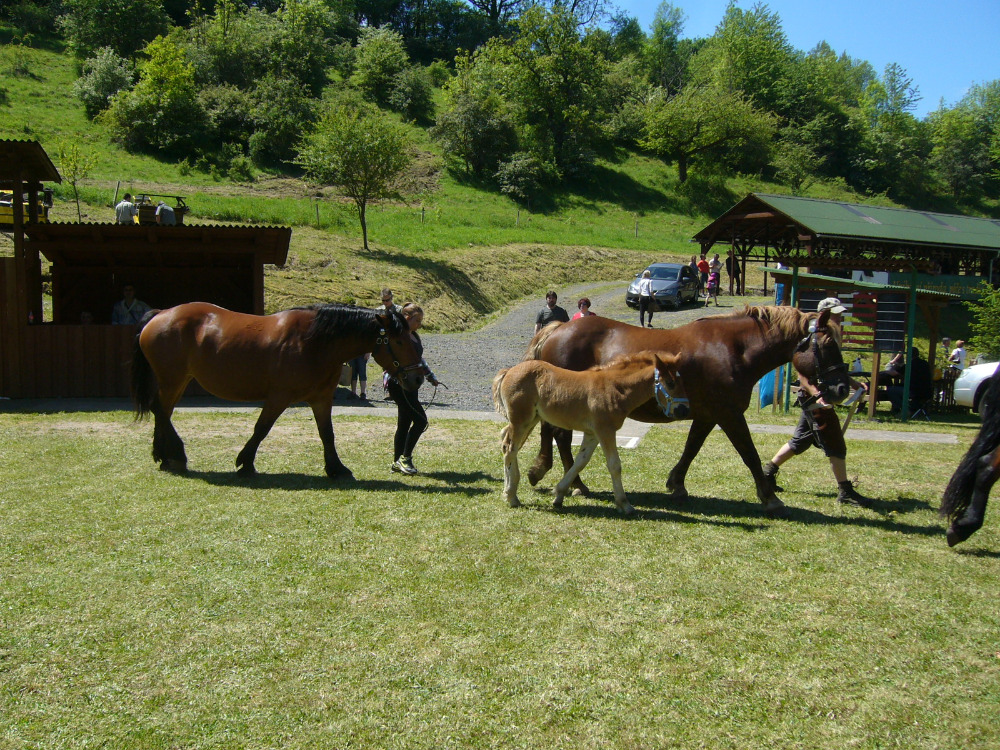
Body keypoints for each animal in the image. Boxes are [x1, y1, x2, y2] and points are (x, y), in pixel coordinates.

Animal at [131, 302, 424, 478]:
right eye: (399, 341)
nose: (417, 379)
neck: (315, 342)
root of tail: (161, 314)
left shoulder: (321, 399)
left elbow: (327, 434)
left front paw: (336, 467)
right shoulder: (279, 398)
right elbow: (261, 428)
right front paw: (245, 462)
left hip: (178, 381)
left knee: (163, 412)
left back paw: (164, 456)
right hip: (172, 379)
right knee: (161, 411)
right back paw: (176, 455)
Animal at [528, 308, 848, 520]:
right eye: (828, 346)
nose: (842, 388)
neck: (733, 350)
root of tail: (557, 329)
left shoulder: (708, 415)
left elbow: (692, 447)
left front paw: (676, 484)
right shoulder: (730, 415)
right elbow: (750, 454)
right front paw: (769, 497)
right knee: (561, 438)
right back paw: (576, 485)